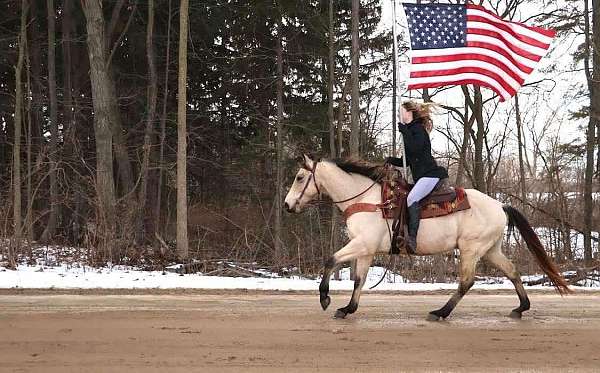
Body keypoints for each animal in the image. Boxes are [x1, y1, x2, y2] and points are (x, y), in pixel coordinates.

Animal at [286, 154, 572, 320]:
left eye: (299, 177)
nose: (288, 205)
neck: (367, 200)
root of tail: (501, 205)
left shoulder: (361, 244)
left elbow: (330, 260)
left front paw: (325, 299)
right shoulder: (366, 249)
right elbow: (359, 279)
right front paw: (347, 309)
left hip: (471, 249)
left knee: (466, 281)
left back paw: (441, 312)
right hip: (490, 249)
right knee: (511, 270)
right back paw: (521, 308)